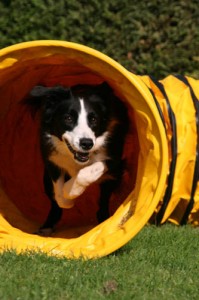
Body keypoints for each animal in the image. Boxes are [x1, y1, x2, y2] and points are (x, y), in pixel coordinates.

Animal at [28, 82, 128, 234]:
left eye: (94, 119)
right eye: (68, 118)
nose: (86, 143)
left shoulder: (114, 158)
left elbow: (87, 172)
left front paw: (71, 191)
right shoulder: (52, 159)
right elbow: (58, 194)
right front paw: (67, 199)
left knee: (104, 198)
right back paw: (46, 227)